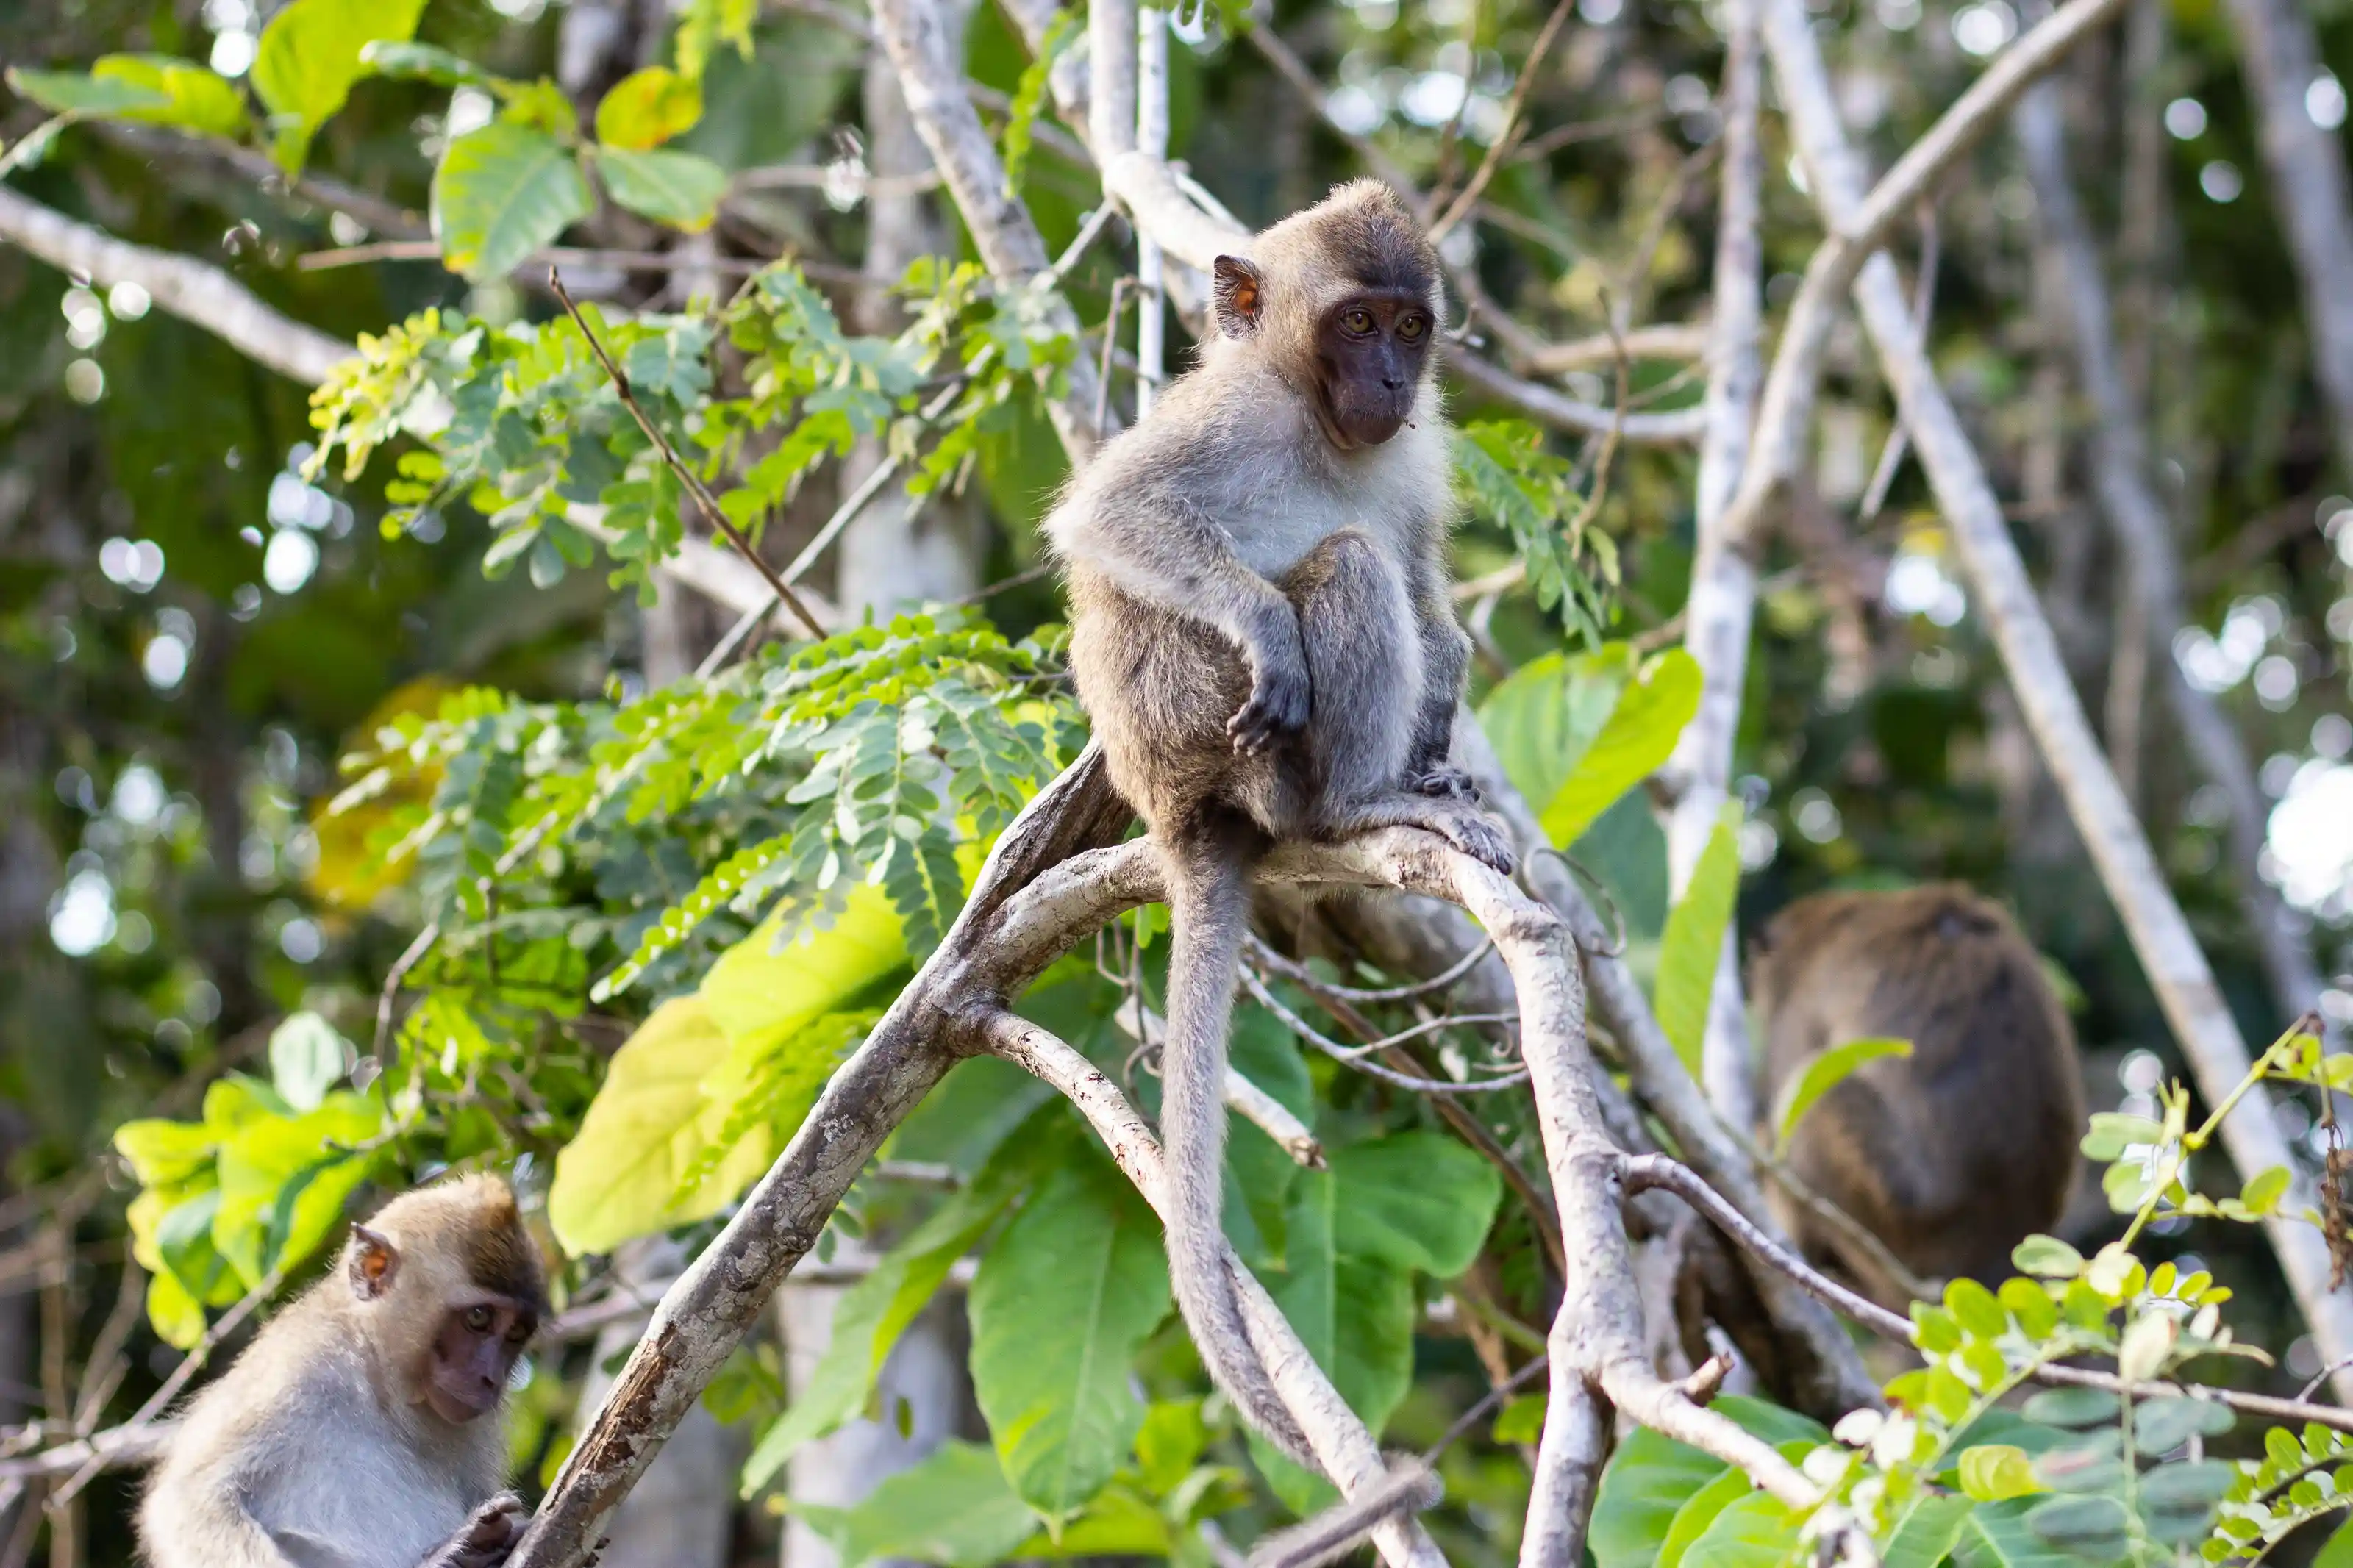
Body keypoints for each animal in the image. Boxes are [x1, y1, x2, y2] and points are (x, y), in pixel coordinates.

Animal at [143, 1175, 550, 1568]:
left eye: (516, 1333)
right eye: (479, 1318)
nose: (490, 1379)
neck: (381, 1384)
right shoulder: (297, 1369)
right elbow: (192, 1502)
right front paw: (456, 1552)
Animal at [1044, 181, 1506, 1504]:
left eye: (1409, 325)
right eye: (1353, 321)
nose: (1390, 377)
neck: (1318, 421)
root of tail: (1177, 809)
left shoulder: (1417, 449)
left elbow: (1427, 580)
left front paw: (1447, 703)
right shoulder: (1230, 411)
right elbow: (1111, 513)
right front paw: (1263, 620)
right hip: (1214, 730)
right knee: (1337, 572)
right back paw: (1357, 804)